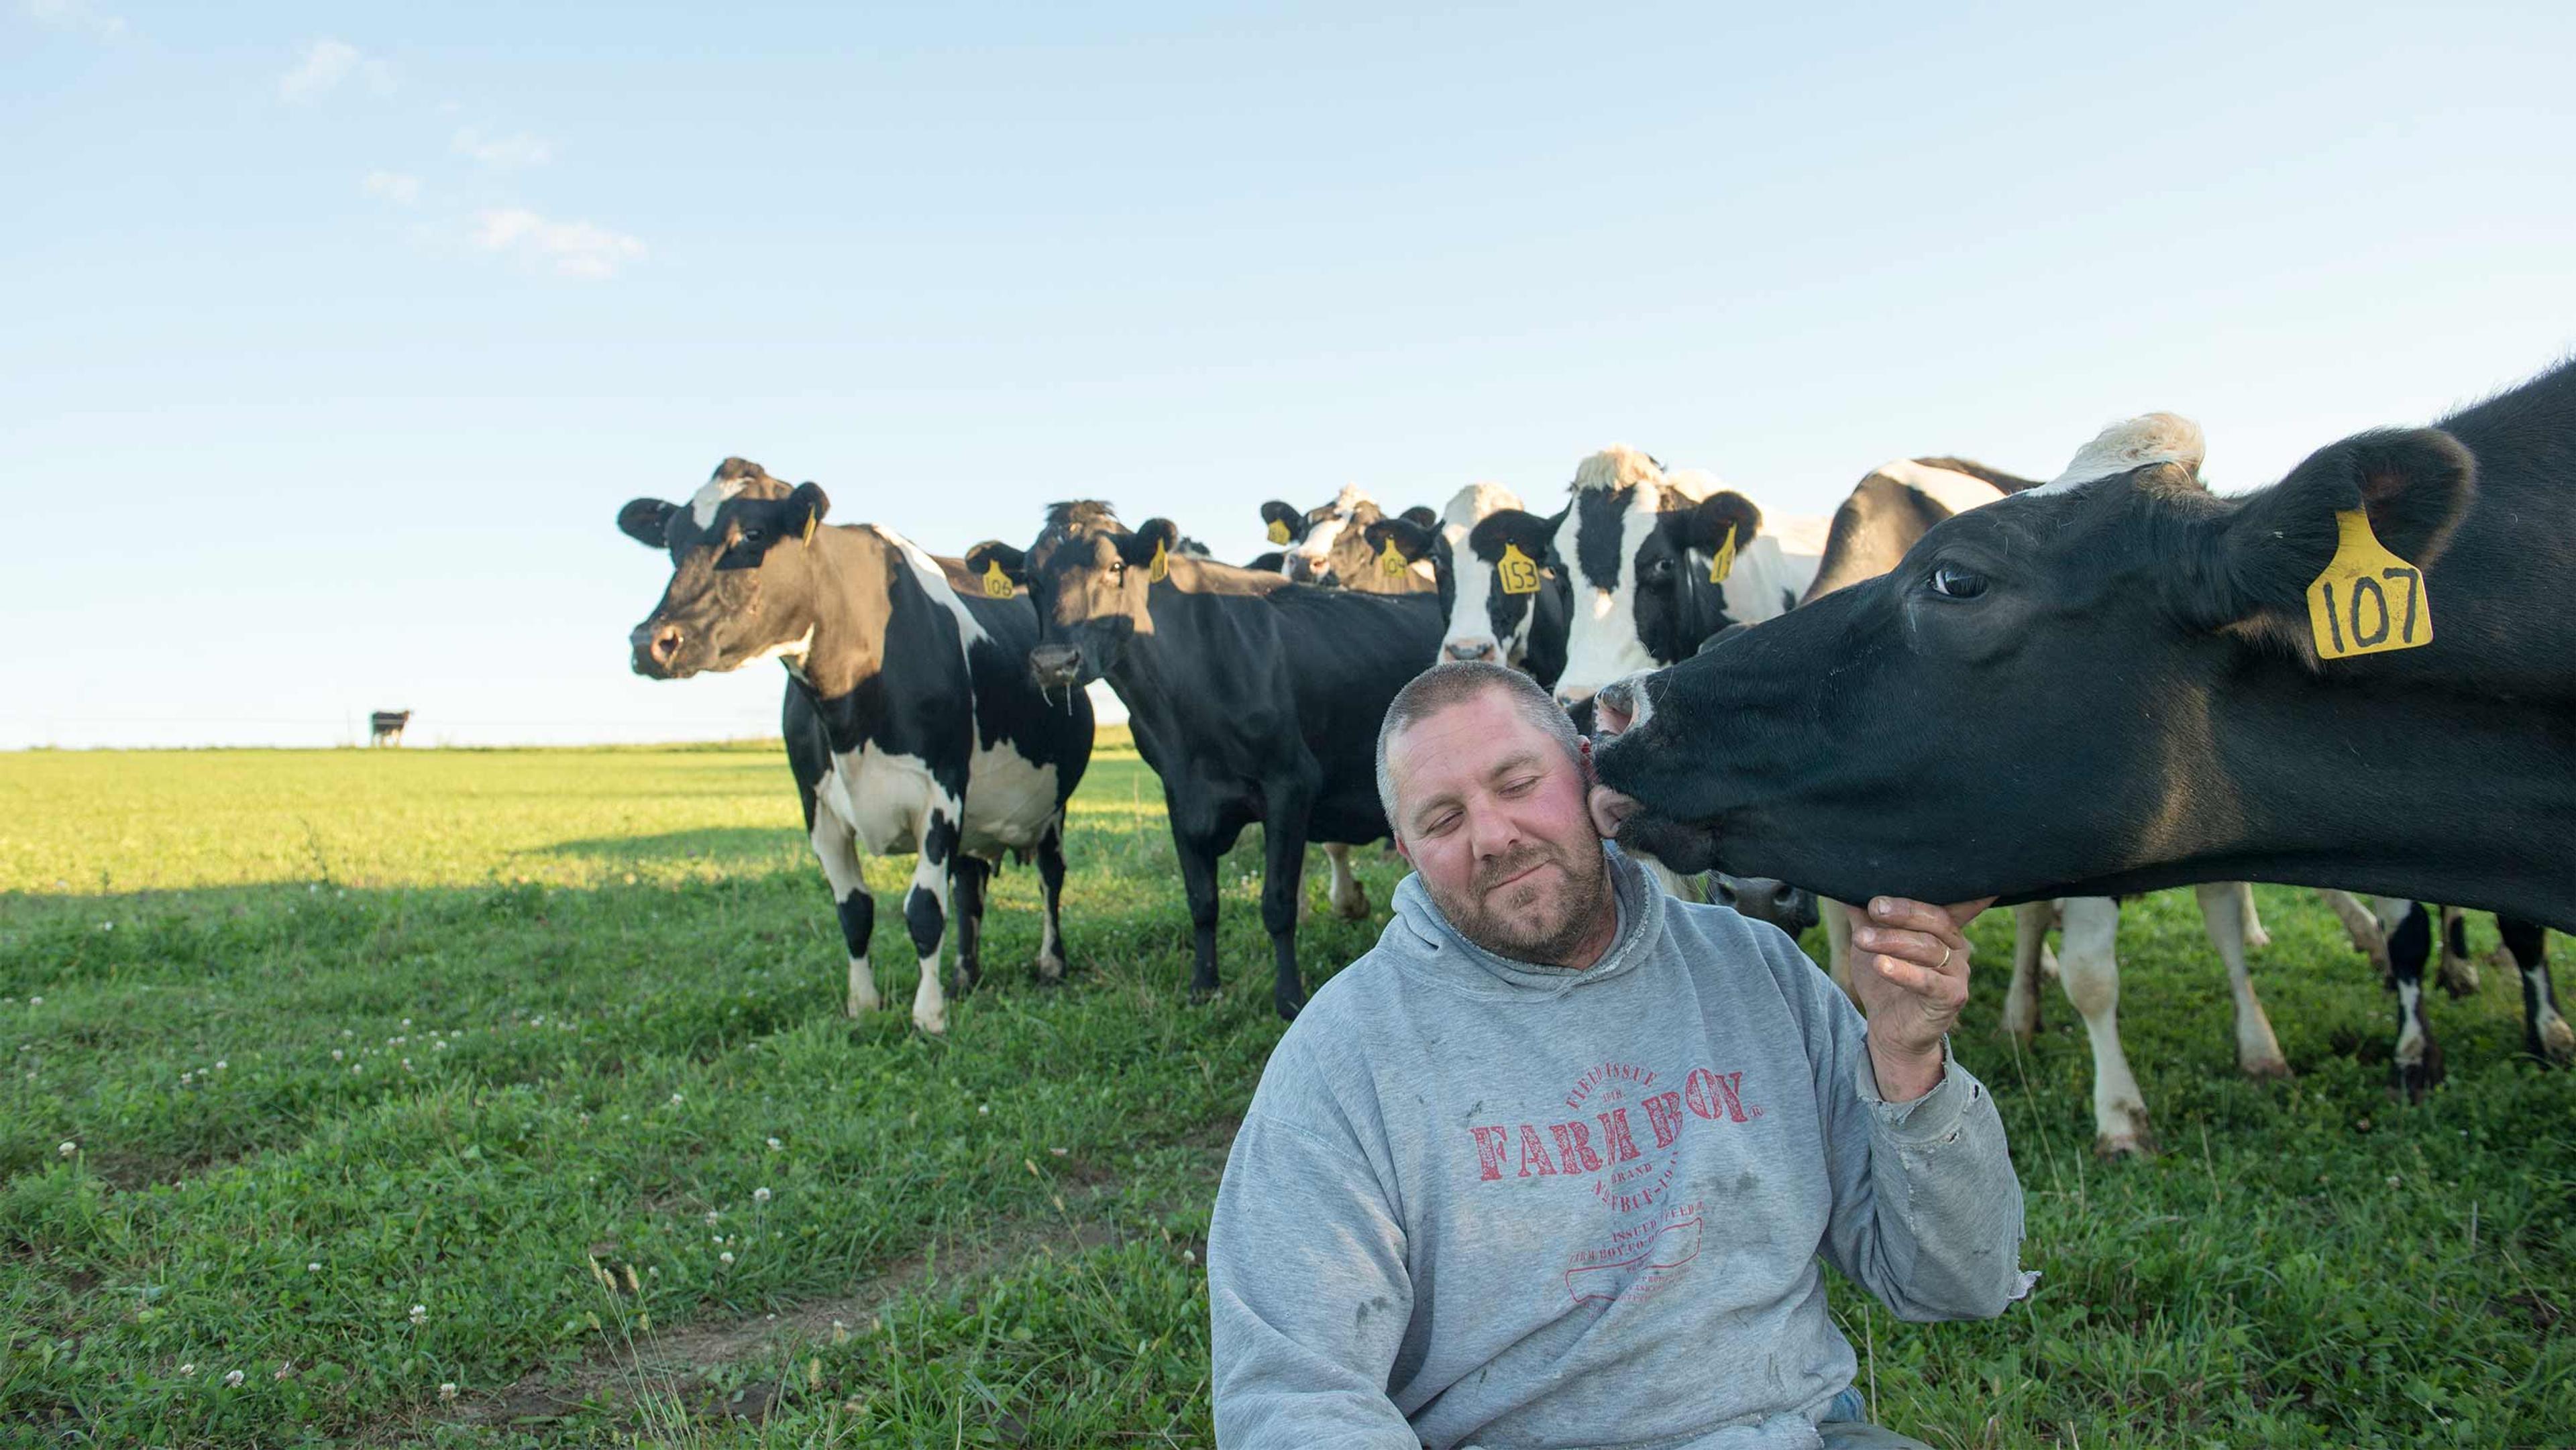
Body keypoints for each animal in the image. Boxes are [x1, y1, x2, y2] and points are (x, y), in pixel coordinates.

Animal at [618, 458, 1092, 1040]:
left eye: (751, 535)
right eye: (671, 542)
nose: (651, 643)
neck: (849, 708)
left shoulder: (941, 790)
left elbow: (923, 909)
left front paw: (929, 1015)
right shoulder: (817, 806)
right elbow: (854, 911)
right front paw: (864, 1004)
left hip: (1050, 806)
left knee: (1050, 875)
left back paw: (1050, 964)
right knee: (969, 884)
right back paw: (965, 975)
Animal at [968, 507, 1452, 1019]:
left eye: (1114, 567)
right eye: (1031, 579)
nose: (1053, 663)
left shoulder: (1290, 784)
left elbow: (1277, 903)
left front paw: (1289, 997)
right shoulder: (1179, 794)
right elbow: (1201, 899)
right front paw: (1203, 985)